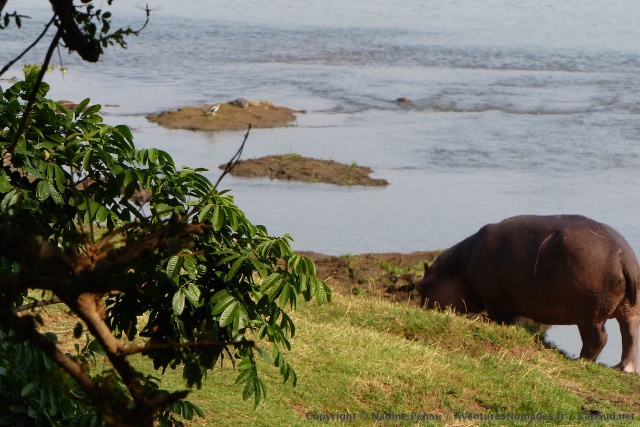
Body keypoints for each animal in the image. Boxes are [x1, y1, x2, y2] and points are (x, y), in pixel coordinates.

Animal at [416, 214, 640, 373]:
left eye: (419, 286)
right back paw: (622, 368)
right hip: (629, 308)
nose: (421, 310)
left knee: (598, 339)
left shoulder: (494, 302)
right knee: (630, 334)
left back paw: (581, 360)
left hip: (589, 315)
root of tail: (623, 258)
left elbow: (506, 320)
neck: (458, 269)